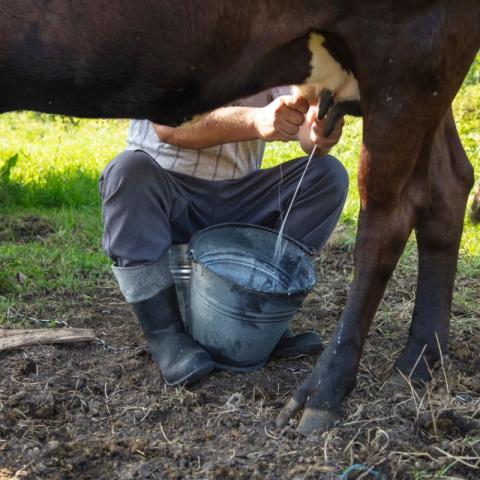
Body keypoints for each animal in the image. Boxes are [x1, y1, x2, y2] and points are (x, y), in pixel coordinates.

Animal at [0, 0, 480, 436]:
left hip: (410, 57)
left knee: (390, 215)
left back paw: (323, 393)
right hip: (426, 80)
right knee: (449, 184)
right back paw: (417, 362)